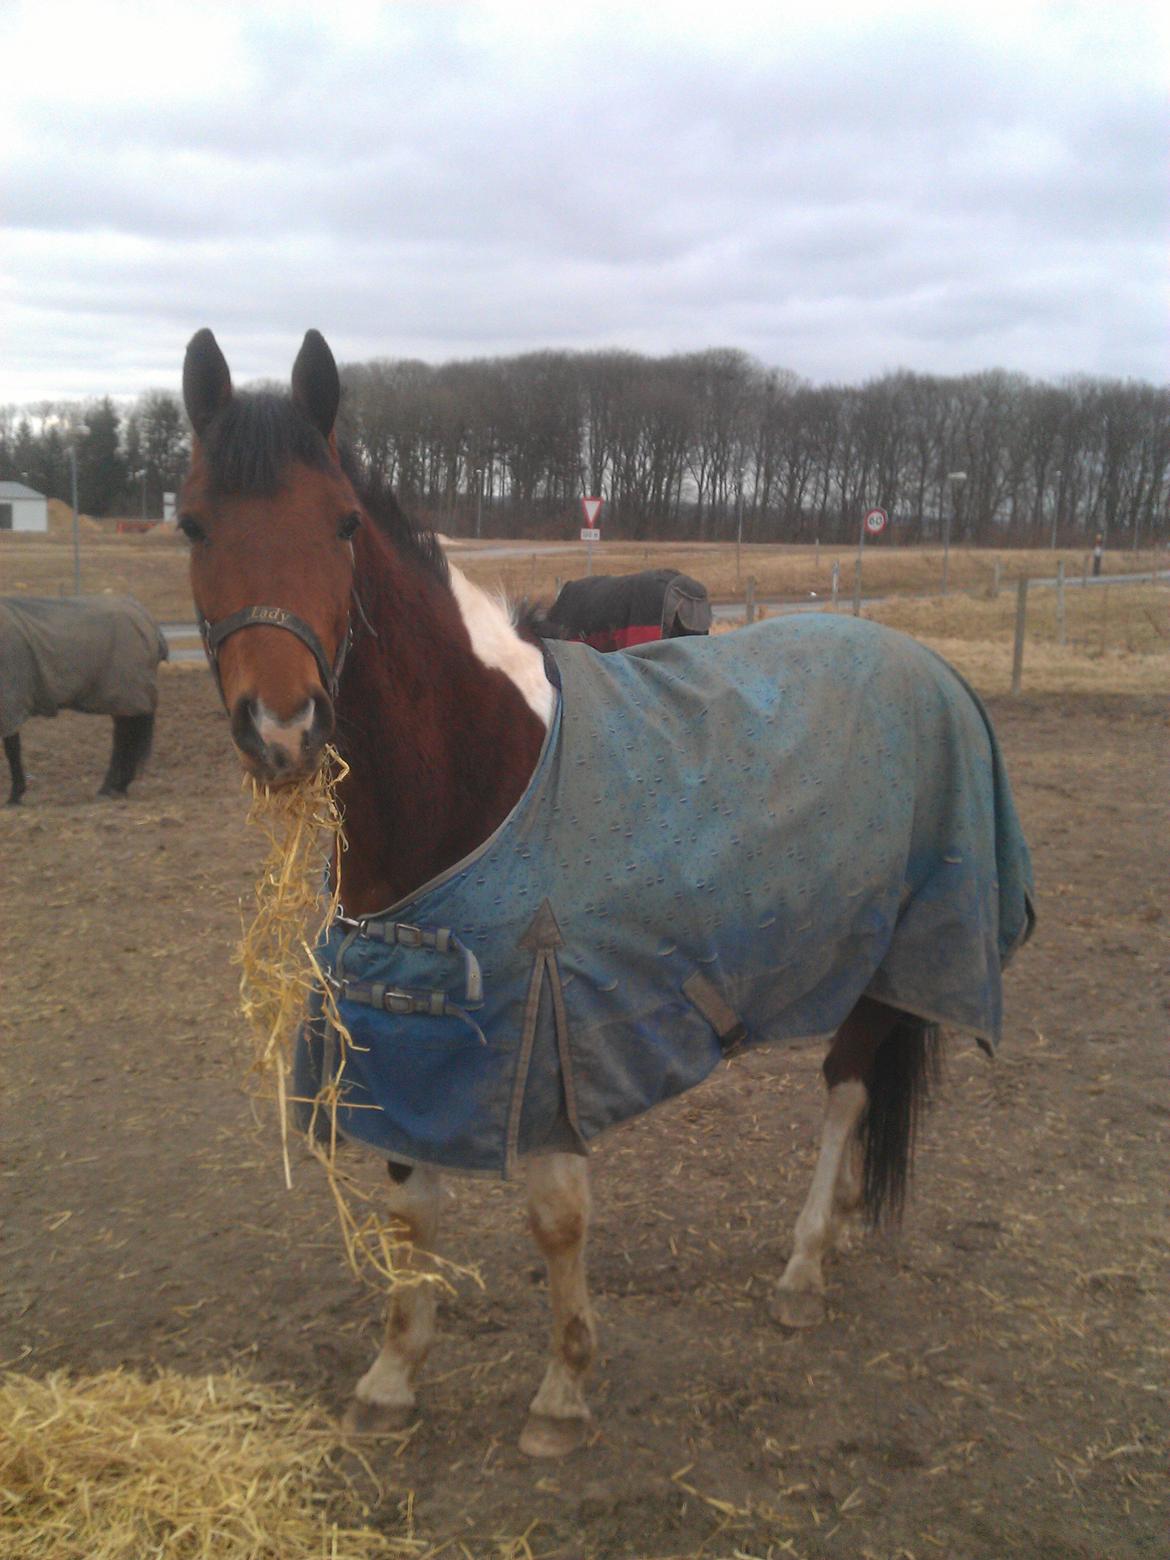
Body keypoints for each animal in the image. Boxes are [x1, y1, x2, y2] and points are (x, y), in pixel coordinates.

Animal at [1, 589, 169, 798]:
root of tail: (146, 619)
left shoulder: (10, 701)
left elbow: (12, 748)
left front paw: (15, 794)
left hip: (128, 694)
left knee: (125, 738)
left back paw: (112, 787)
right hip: (124, 697)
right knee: (123, 738)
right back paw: (115, 786)